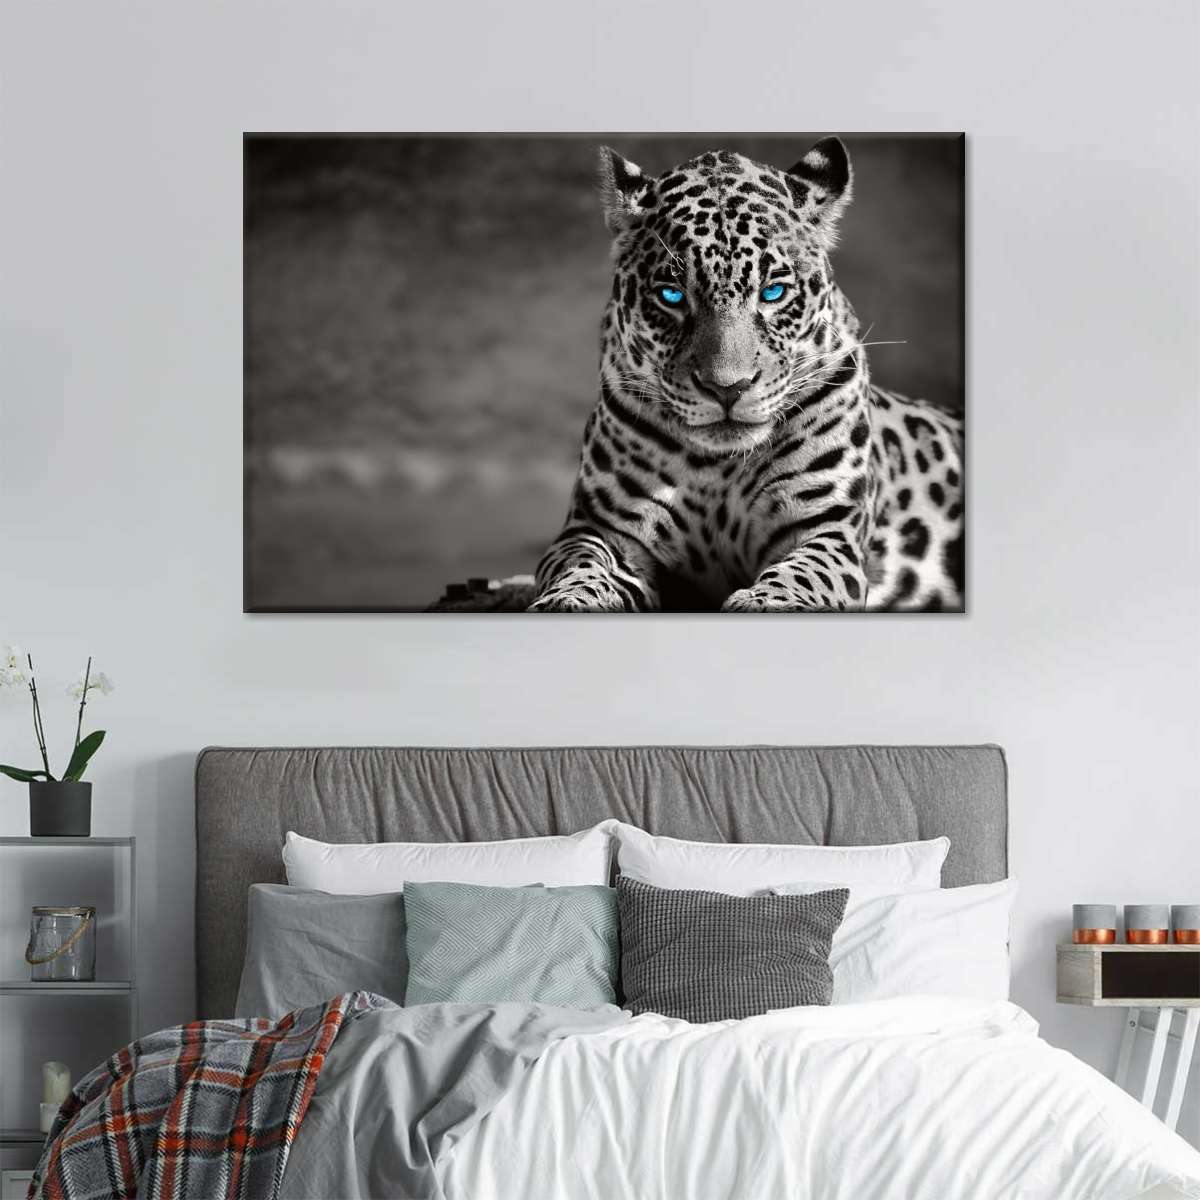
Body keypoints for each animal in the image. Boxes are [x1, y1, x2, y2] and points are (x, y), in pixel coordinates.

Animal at [530, 137, 964, 613]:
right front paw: (568, 600)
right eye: (671, 295)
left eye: (773, 292)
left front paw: (766, 601)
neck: (719, 467)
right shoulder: (600, 526)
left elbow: (802, 574)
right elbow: (581, 565)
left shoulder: (827, 528)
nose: (727, 388)